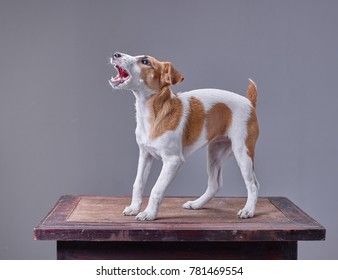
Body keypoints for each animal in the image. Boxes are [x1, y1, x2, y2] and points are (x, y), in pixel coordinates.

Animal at [109, 51, 260, 220]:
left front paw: (149, 213)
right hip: (215, 153)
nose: (116, 54)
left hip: (242, 152)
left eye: (145, 61)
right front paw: (134, 208)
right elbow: (138, 184)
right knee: (215, 184)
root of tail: (249, 102)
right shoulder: (145, 155)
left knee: (253, 184)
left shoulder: (173, 161)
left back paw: (248, 210)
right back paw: (196, 204)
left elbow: (156, 189)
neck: (152, 113)